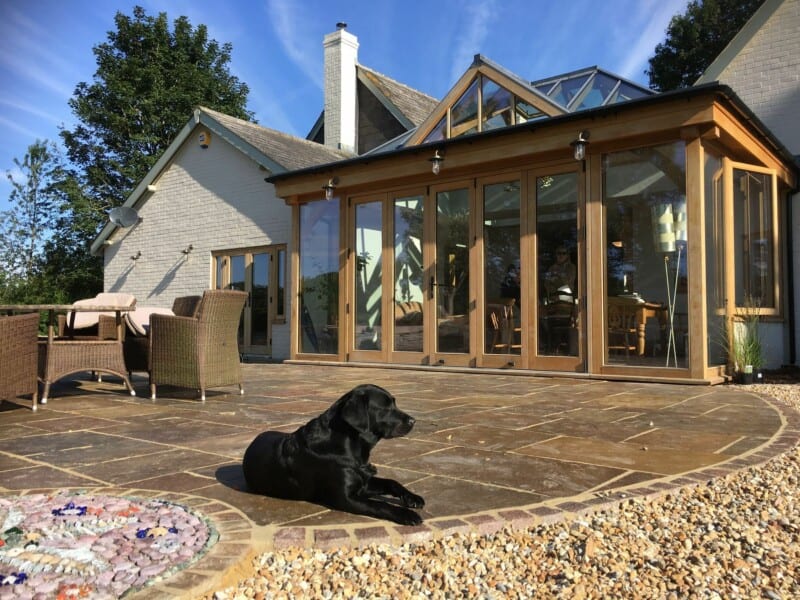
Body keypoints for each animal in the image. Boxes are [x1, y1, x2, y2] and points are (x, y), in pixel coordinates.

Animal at [242, 384, 424, 524]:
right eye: (385, 408)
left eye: (394, 404)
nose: (413, 420)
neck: (349, 446)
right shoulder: (346, 498)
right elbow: (379, 505)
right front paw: (407, 514)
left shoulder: (363, 484)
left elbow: (392, 482)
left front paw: (413, 498)